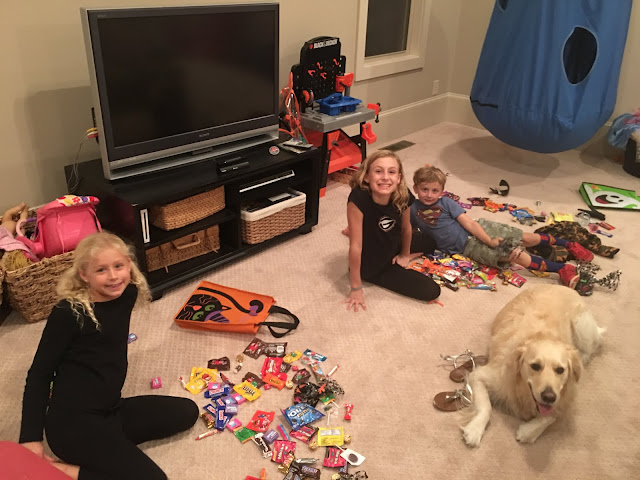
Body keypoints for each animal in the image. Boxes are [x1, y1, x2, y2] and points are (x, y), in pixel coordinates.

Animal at [461, 285, 604, 446]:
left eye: (560, 370)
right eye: (535, 366)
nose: (549, 397)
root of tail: (563, 286)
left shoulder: (566, 396)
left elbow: (552, 415)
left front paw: (528, 432)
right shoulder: (482, 375)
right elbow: (486, 406)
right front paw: (475, 430)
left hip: (582, 327)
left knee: (592, 345)